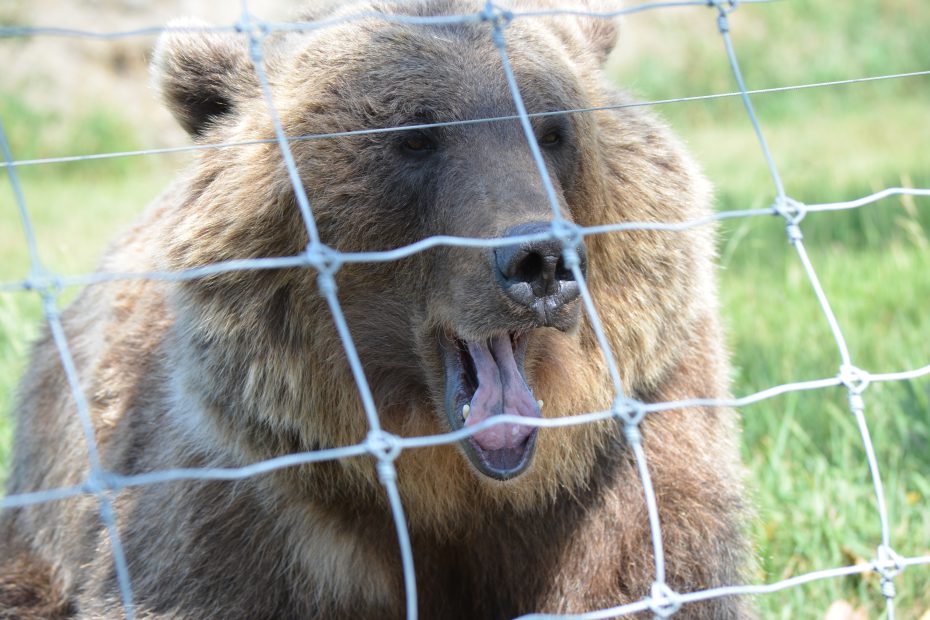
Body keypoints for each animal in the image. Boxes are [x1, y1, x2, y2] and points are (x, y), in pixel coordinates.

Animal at [0, 0, 748, 616]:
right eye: (415, 137)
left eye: (552, 128)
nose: (540, 262)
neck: (445, 485)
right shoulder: (253, 500)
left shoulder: (623, 466)